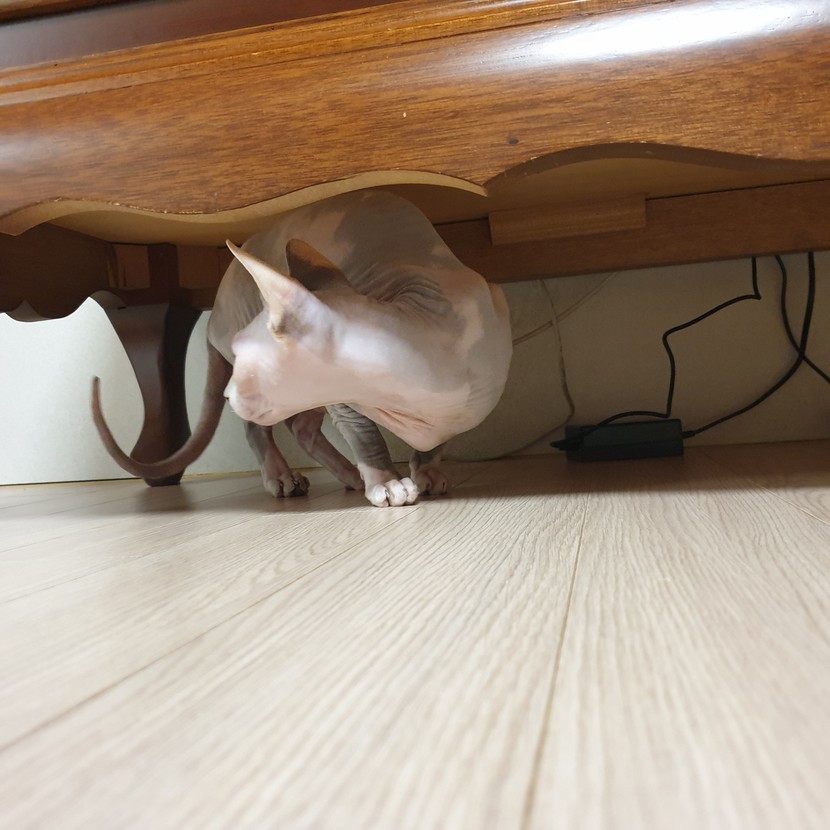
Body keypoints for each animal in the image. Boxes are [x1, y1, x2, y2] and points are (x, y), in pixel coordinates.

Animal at [92, 190, 512, 507]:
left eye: (244, 352)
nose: (227, 392)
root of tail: (214, 317)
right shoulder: (347, 402)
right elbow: (367, 437)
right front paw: (386, 481)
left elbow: (440, 438)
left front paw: (427, 468)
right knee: (259, 430)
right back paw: (283, 476)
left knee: (301, 428)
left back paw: (346, 474)